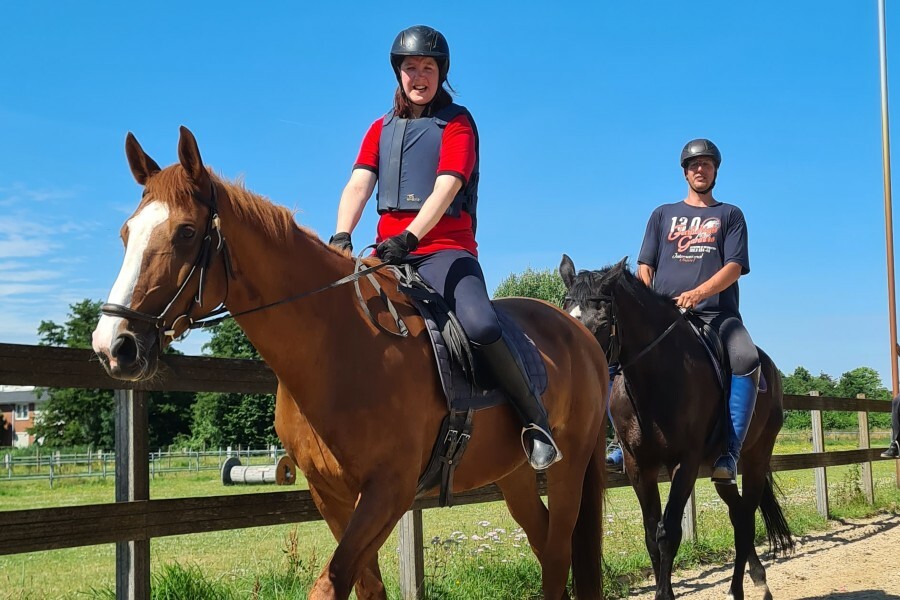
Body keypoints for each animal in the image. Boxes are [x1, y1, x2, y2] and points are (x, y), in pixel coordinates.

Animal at [93, 127, 612, 600]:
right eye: (125, 233)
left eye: (185, 232)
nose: (113, 345)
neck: (338, 346)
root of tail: (581, 335)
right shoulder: (332, 495)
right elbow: (365, 586)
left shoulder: (389, 491)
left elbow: (330, 584)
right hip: (515, 475)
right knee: (545, 547)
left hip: (567, 468)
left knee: (558, 552)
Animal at [560, 255, 792, 600]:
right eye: (565, 314)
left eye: (601, 322)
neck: (656, 378)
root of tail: (771, 370)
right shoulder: (639, 466)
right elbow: (650, 534)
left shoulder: (686, 463)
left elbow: (667, 533)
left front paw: (664, 594)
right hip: (718, 470)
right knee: (738, 515)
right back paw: (757, 578)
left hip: (755, 457)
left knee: (747, 518)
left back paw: (738, 589)